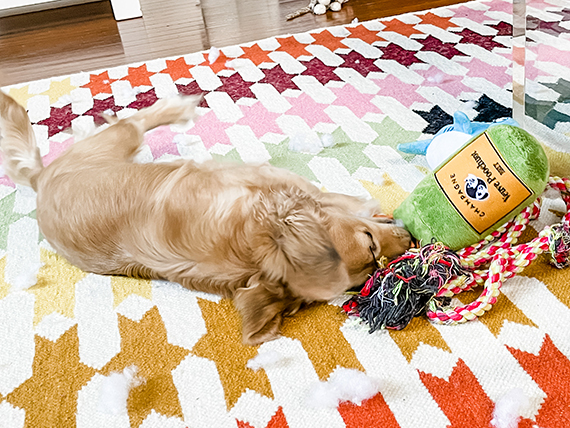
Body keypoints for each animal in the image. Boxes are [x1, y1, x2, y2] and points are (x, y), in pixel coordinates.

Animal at [0, 91, 411, 344]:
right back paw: (177, 107)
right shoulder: (271, 180)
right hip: (114, 143)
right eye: (368, 245)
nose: (409, 237)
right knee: (133, 122)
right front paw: (365, 202)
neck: (251, 247)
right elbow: (334, 196)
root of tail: (40, 181)